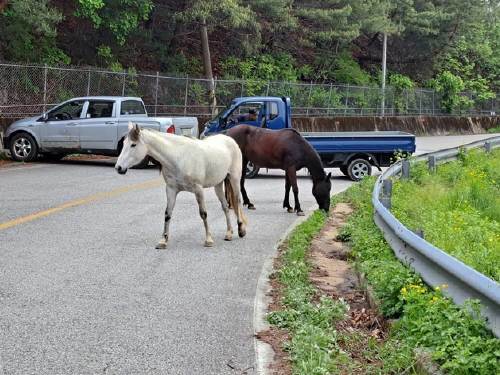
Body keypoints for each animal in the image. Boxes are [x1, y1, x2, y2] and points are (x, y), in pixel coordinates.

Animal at [114, 122, 246, 248]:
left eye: (133, 145)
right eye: (124, 143)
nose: (118, 168)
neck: (179, 157)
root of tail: (230, 139)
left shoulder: (198, 190)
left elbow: (203, 213)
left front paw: (208, 240)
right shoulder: (171, 190)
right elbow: (167, 214)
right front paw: (163, 241)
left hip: (234, 179)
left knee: (237, 201)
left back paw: (241, 230)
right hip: (218, 184)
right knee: (225, 206)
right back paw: (229, 233)